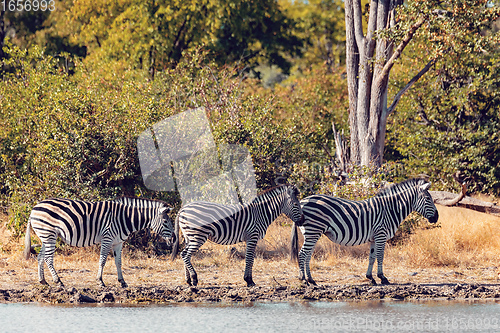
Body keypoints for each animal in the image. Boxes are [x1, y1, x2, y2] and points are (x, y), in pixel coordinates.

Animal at [24, 196, 176, 286]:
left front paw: (122, 282)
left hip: (46, 236)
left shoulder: (118, 242)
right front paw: (100, 281)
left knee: (40, 257)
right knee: (48, 258)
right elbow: (102, 260)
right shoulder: (107, 238)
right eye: (165, 222)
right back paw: (58, 281)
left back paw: (43, 281)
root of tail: (34, 208)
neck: (125, 218)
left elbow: (118, 262)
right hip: (49, 234)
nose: (174, 239)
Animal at [171, 183, 304, 286]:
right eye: (296, 205)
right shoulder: (252, 236)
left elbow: (251, 259)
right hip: (198, 236)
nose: (303, 221)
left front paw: (249, 280)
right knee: (185, 254)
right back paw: (194, 279)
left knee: (185, 254)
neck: (260, 213)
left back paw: (188, 280)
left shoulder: (252, 238)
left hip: (189, 236)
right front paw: (249, 281)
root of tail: (183, 208)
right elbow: (249, 259)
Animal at [290, 178, 438, 284]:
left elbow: (372, 257)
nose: (436, 217)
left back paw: (311, 280)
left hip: (313, 233)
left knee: (308, 255)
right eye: (428, 199)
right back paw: (303, 279)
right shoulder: (381, 234)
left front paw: (370, 277)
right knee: (303, 254)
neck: (390, 209)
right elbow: (380, 256)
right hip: (313, 231)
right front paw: (382, 278)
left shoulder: (374, 237)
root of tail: (301, 202)